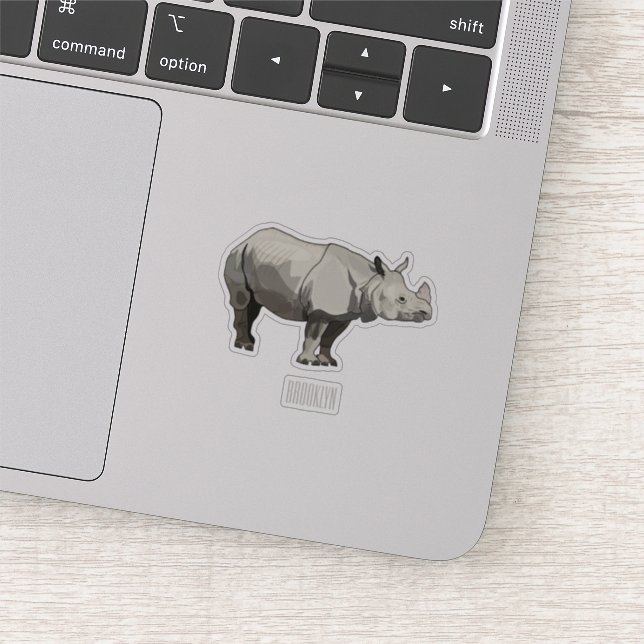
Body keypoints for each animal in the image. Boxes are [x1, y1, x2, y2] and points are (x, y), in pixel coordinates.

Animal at [223, 227, 433, 367]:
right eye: (402, 299)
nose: (428, 313)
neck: (369, 282)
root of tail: (246, 239)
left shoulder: (346, 314)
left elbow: (330, 338)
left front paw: (329, 362)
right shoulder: (320, 310)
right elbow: (314, 335)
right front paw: (309, 362)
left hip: (250, 258)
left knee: (255, 305)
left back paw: (250, 342)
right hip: (237, 256)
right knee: (242, 300)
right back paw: (245, 346)